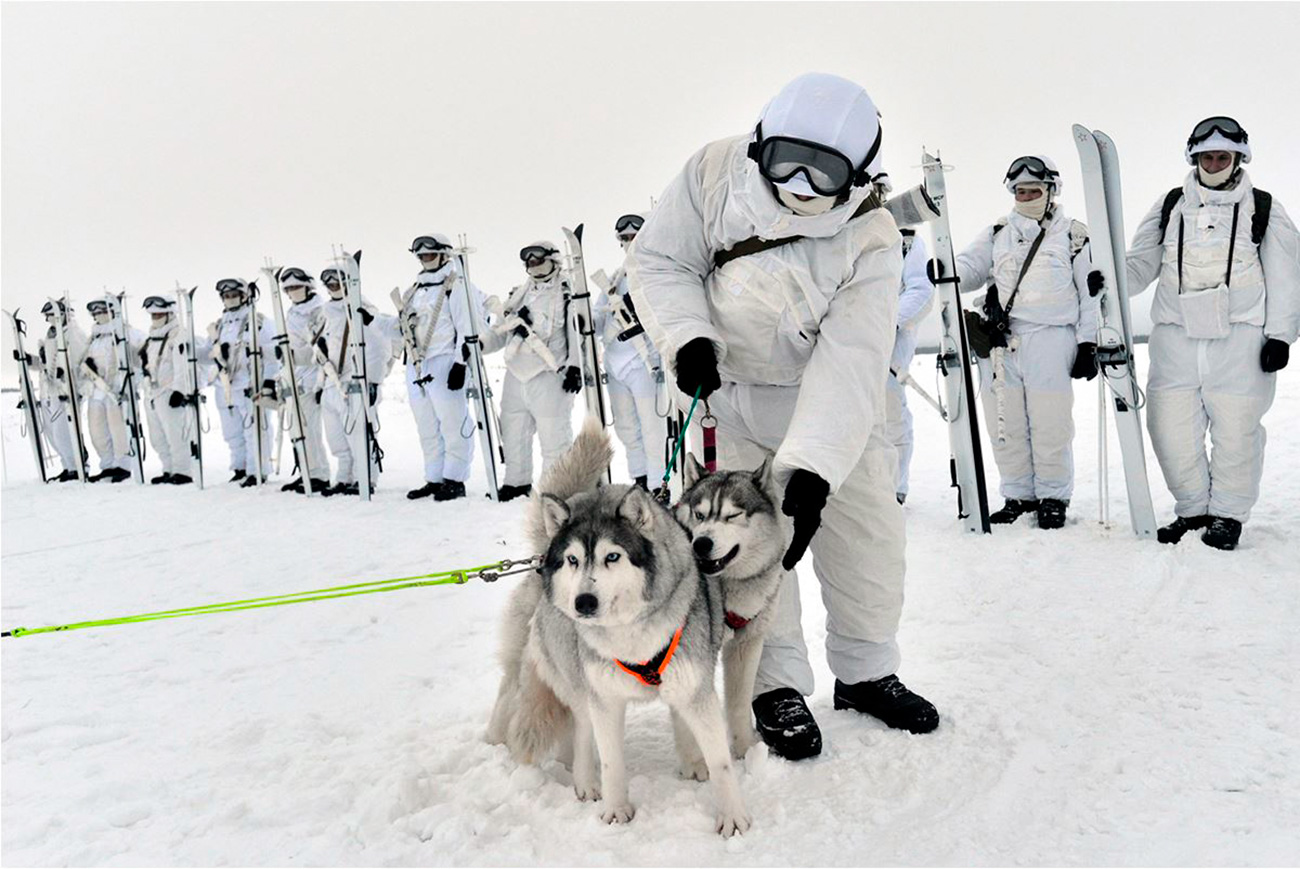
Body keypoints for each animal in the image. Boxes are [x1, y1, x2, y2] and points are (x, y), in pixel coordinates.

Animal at [488, 416, 754, 837]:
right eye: (574, 560)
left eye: (612, 556)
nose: (583, 602)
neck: (632, 635)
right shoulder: (605, 700)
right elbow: (611, 759)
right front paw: (616, 811)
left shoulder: (695, 690)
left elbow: (721, 762)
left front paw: (732, 818)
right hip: (576, 680)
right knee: (580, 729)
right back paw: (583, 780)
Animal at [676, 452, 785, 764]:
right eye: (699, 515)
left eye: (732, 515)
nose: (700, 543)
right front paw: (694, 764)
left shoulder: (746, 644)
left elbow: (738, 703)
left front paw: (745, 749)